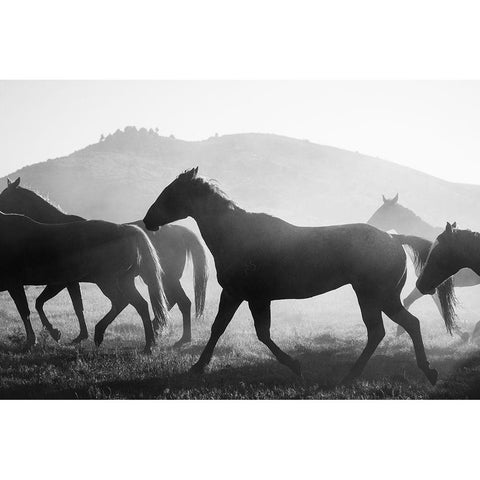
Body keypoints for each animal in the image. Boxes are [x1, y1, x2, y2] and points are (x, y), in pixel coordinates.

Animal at [0, 212, 169, 350]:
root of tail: (126, 229)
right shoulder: (60, 283)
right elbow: (41, 303)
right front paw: (54, 333)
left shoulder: (17, 284)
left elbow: (26, 311)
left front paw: (32, 341)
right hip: (124, 281)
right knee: (141, 305)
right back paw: (148, 345)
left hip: (106, 280)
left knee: (121, 301)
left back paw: (100, 333)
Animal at [142, 167, 458, 384]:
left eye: (171, 192)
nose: (147, 220)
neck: (237, 234)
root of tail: (394, 239)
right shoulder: (241, 295)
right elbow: (225, 329)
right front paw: (198, 365)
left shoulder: (248, 296)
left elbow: (256, 333)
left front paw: (295, 365)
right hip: (379, 298)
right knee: (391, 329)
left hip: (376, 296)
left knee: (395, 327)